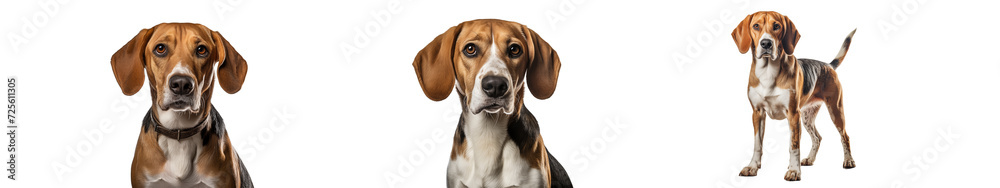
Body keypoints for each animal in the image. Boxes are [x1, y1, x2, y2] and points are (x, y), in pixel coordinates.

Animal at [728, 11, 860, 181]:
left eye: (776, 26)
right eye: (756, 26)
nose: (766, 43)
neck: (768, 72)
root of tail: (828, 65)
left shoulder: (792, 114)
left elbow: (794, 146)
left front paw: (794, 171)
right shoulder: (757, 113)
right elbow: (758, 144)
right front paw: (752, 167)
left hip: (835, 110)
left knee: (845, 136)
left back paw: (849, 160)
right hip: (807, 117)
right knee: (817, 138)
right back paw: (810, 159)